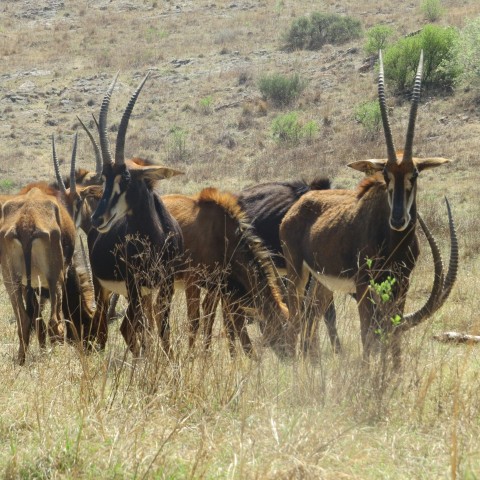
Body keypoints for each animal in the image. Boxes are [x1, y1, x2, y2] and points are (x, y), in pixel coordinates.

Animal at [87, 73, 185, 354]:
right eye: (104, 178)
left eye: (127, 177)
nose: (97, 219)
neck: (156, 236)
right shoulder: (134, 284)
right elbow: (134, 329)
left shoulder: (165, 285)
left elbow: (162, 331)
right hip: (106, 288)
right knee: (108, 326)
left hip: (144, 292)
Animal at [280, 51, 460, 360]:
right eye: (385, 174)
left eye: (415, 173)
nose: (398, 219)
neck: (394, 242)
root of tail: (297, 207)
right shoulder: (364, 285)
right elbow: (367, 335)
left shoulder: (402, 283)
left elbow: (392, 334)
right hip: (297, 274)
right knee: (295, 319)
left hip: (320, 282)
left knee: (311, 315)